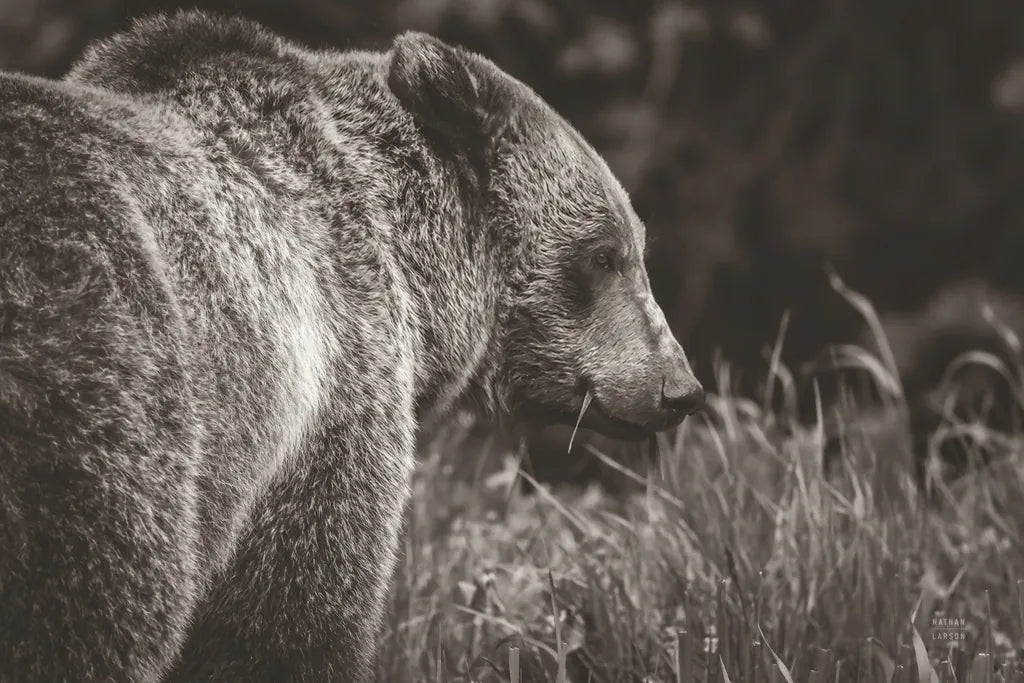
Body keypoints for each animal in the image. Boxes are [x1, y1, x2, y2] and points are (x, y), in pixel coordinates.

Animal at [0, 11, 704, 681]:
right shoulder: (331, 395)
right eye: (603, 255)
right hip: (106, 389)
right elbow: (293, 618)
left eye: (632, 246)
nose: (680, 389)